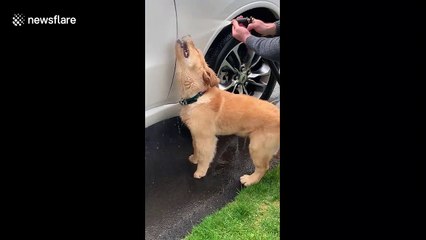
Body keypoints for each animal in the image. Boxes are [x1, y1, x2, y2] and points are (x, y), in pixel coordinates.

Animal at [175, 35, 282, 187]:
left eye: (196, 49)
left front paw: (200, 171)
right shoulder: (196, 134)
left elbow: (204, 155)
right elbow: (196, 148)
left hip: (257, 146)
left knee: (263, 167)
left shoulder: (206, 138)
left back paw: (249, 180)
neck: (198, 95)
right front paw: (194, 158)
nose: (188, 36)